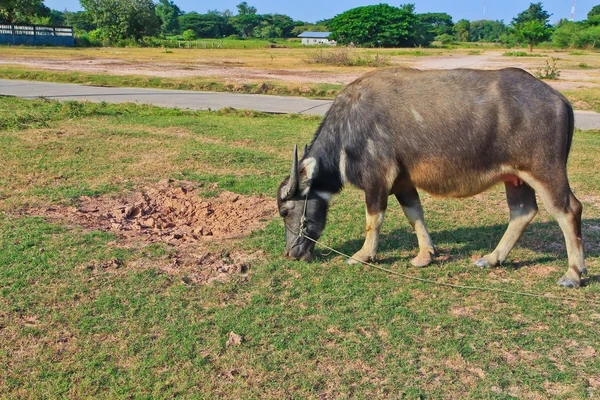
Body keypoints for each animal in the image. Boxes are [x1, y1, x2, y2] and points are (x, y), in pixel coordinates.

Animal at [278, 68, 584, 288]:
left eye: (285, 211)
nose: (291, 253)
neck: (348, 128)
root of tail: (560, 100)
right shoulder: (402, 181)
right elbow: (415, 213)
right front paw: (426, 254)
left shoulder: (377, 178)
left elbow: (373, 219)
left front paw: (363, 255)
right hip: (515, 177)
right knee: (522, 211)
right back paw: (492, 258)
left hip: (546, 170)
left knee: (569, 210)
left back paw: (574, 273)